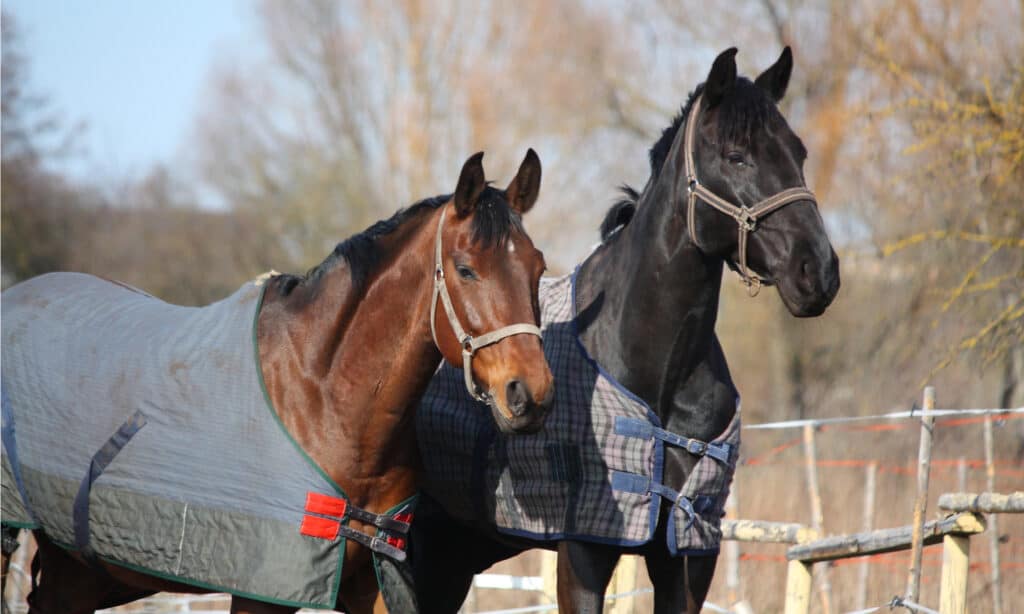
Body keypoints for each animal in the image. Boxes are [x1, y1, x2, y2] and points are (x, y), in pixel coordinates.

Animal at [0, 149, 557, 614]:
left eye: (537, 267)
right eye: (465, 269)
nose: (530, 395)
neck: (323, 401)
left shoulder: (378, 581)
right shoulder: (263, 590)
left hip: (75, 568)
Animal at [407, 48, 839, 614]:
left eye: (799, 152)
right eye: (736, 155)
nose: (818, 271)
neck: (657, 370)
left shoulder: (688, 554)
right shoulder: (584, 553)